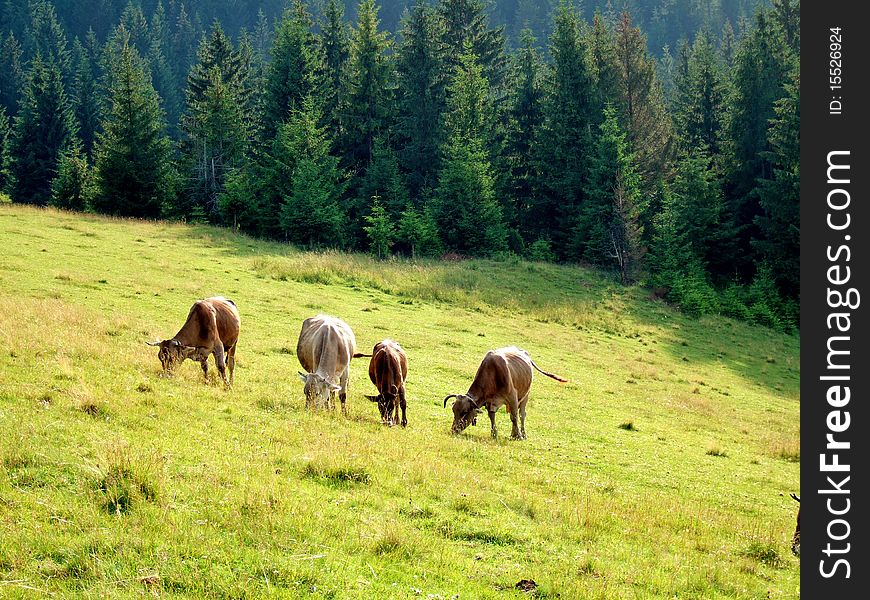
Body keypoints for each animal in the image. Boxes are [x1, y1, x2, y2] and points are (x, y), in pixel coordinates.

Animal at [442, 346, 572, 440]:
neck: (492, 374)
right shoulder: (490, 402)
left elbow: (514, 417)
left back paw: (522, 434)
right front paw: (494, 434)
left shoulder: (512, 397)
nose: (453, 430)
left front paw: (518, 436)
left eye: (464, 412)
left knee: (522, 415)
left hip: (525, 396)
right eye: (453, 410)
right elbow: (492, 417)